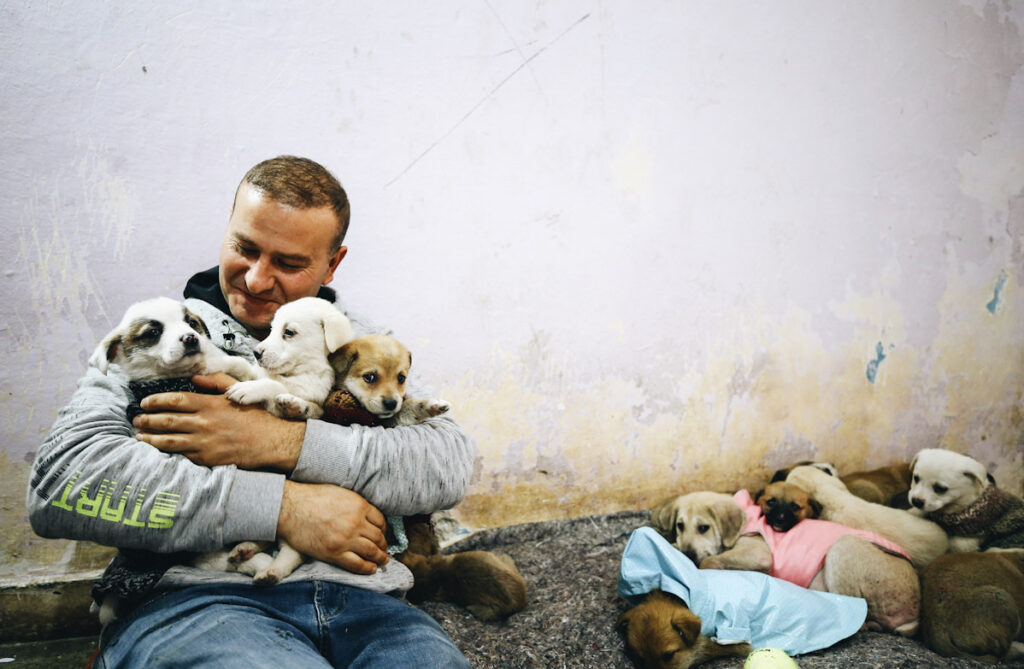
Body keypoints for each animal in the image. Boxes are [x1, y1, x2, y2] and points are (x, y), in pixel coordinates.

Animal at [651, 483, 925, 635]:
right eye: (680, 526)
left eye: (704, 528)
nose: (687, 553)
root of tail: (914, 613)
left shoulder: (759, 553)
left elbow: (709, 561)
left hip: (843, 547)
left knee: (859, 616)